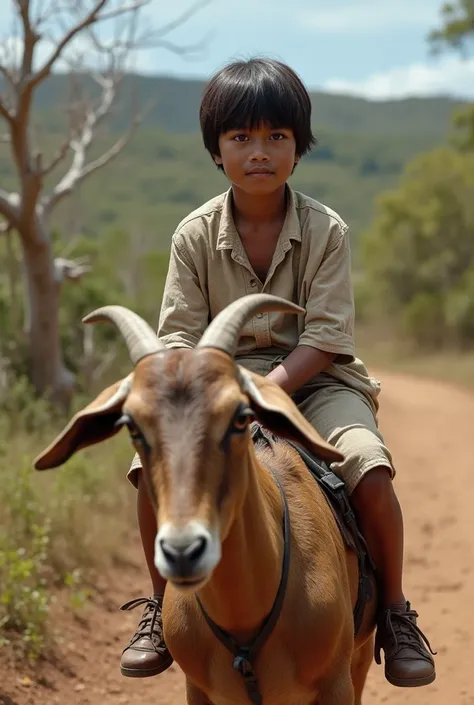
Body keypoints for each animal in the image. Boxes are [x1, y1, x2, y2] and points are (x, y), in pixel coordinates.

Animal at [34, 292, 378, 704]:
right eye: (132, 426)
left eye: (240, 416)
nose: (184, 552)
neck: (244, 622)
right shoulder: (198, 690)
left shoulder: (336, 684)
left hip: (360, 657)